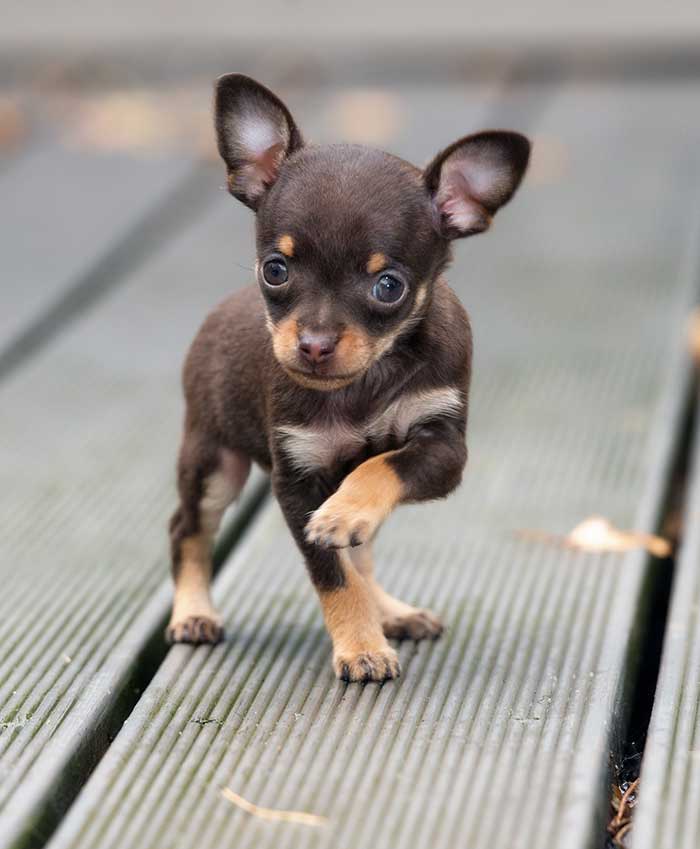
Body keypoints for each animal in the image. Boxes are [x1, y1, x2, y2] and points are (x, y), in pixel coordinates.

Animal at [168, 74, 532, 684]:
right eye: (275, 270)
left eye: (389, 286)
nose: (313, 345)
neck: (366, 382)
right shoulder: (297, 481)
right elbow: (333, 576)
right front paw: (361, 645)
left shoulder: (441, 449)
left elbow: (377, 472)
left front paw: (348, 522)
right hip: (214, 461)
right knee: (188, 528)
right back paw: (194, 613)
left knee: (360, 547)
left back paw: (392, 609)